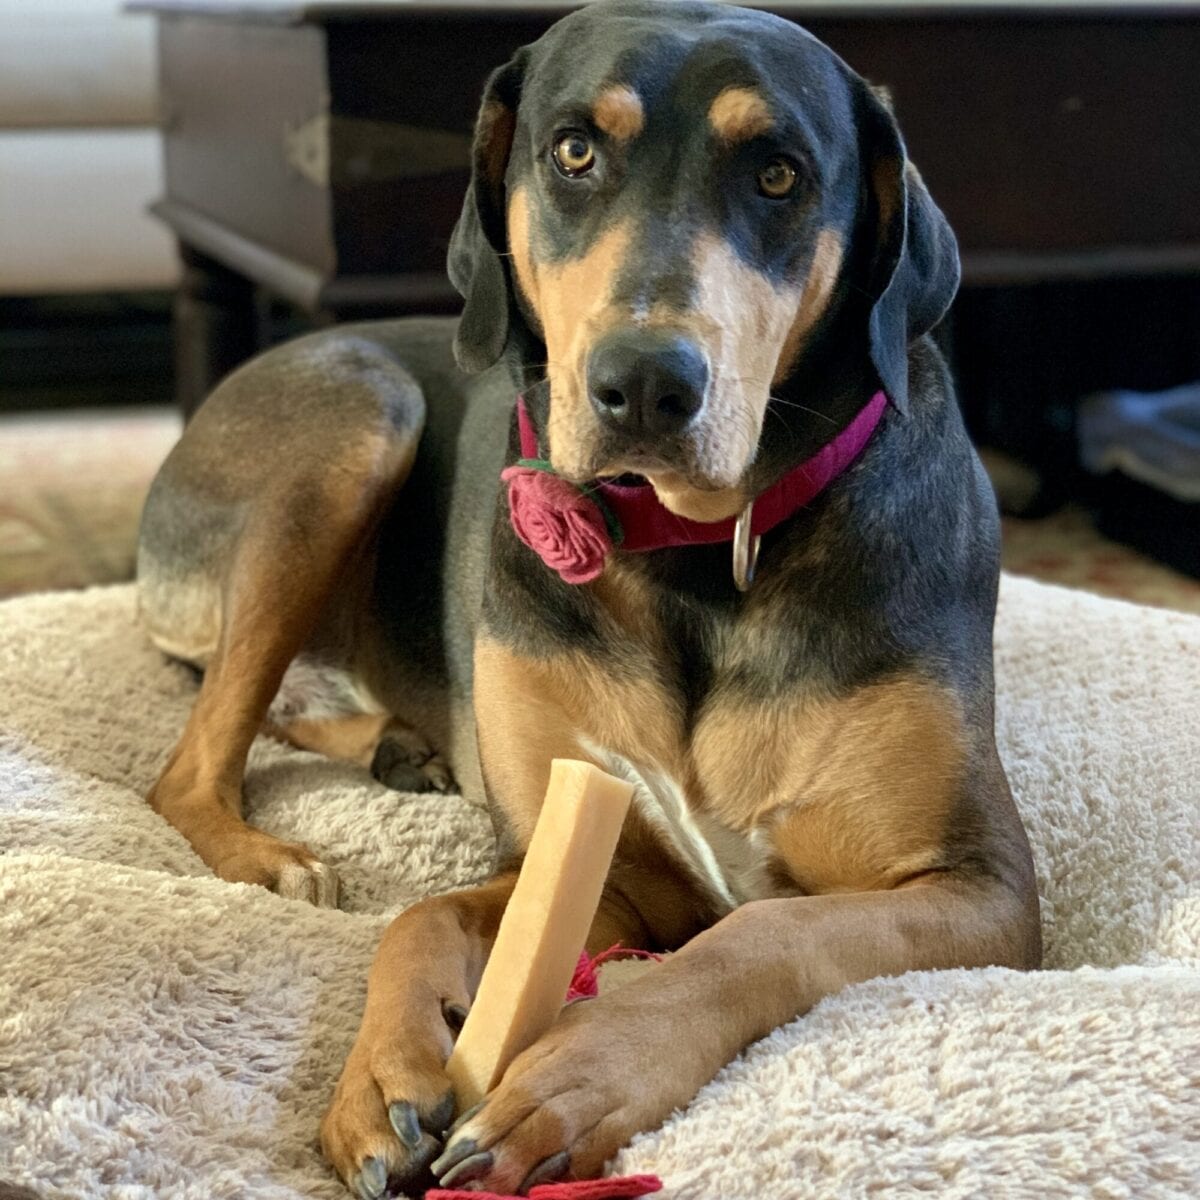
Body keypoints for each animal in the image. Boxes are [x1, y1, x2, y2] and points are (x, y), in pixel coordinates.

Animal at [138, 0, 1041, 1190]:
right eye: (574, 152)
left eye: (780, 174)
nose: (646, 384)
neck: (696, 558)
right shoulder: (582, 858)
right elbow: (421, 917)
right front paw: (379, 1080)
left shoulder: (979, 888)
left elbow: (757, 934)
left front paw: (574, 1076)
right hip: (354, 421)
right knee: (193, 758)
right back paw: (278, 853)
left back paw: (398, 750)